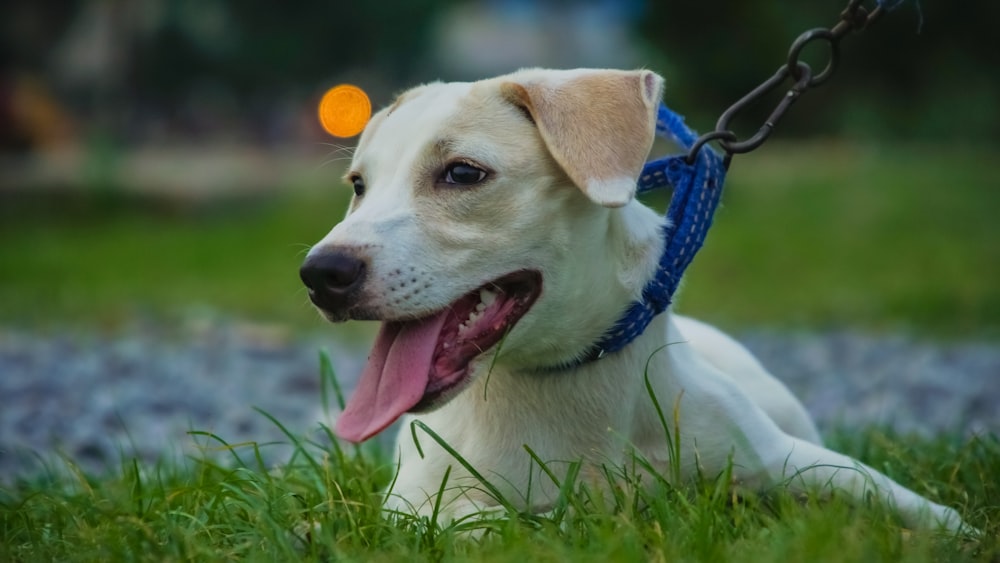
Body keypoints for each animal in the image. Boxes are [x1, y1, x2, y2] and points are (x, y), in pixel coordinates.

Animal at [300, 67, 972, 532]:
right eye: (358, 185)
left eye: (463, 174)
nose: (320, 273)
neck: (564, 381)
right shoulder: (420, 504)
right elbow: (490, 525)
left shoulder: (789, 457)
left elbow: (909, 503)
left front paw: (957, 531)